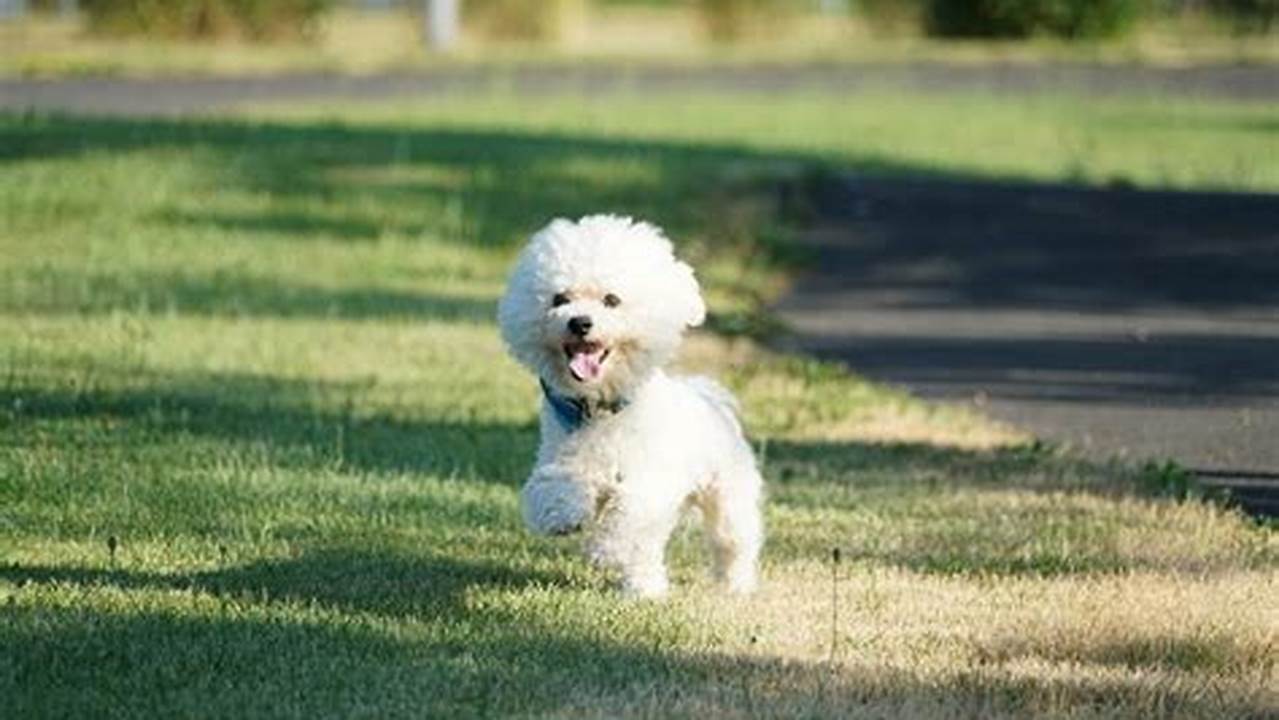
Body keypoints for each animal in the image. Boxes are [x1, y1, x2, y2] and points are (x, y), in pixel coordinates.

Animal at [496, 217, 757, 601]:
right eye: (560, 299)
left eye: (612, 300)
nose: (580, 322)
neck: (600, 409)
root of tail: (707, 396)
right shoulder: (560, 454)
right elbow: (554, 485)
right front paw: (561, 515)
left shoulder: (651, 480)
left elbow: (630, 516)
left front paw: (605, 550)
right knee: (649, 555)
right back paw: (644, 590)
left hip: (728, 494)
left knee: (733, 541)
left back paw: (734, 585)